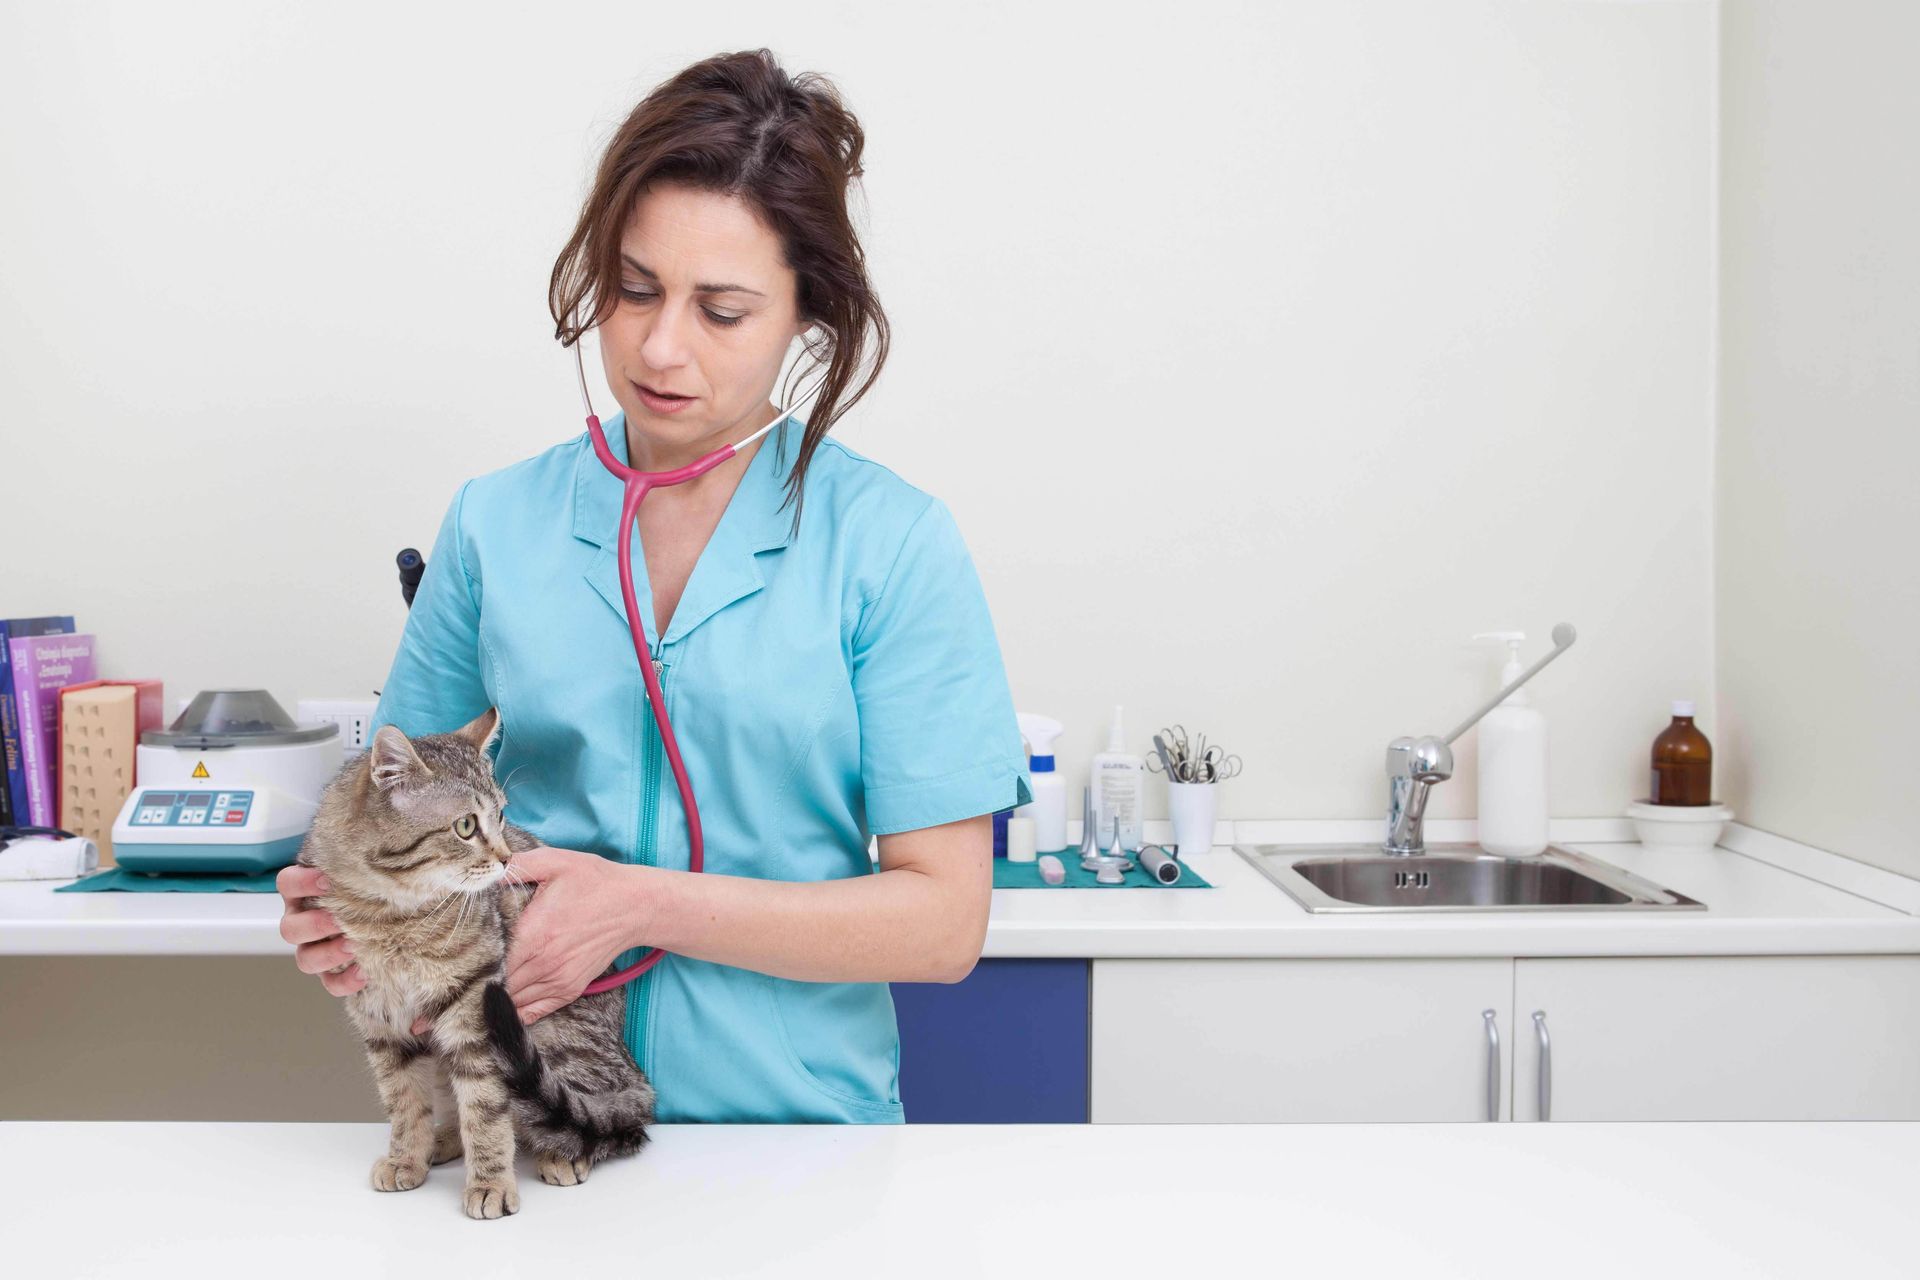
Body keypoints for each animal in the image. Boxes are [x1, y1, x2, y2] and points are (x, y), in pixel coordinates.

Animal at [297, 710, 660, 1220]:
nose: (507, 858)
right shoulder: (382, 1022)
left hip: (553, 1037)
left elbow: (486, 1113)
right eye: (466, 826)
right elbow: (404, 1103)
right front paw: (405, 1156)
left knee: (599, 1118)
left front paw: (490, 1182)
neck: (391, 917)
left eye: (502, 816)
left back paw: (562, 1153)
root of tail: (633, 1070)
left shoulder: (476, 1011)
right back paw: (443, 1140)